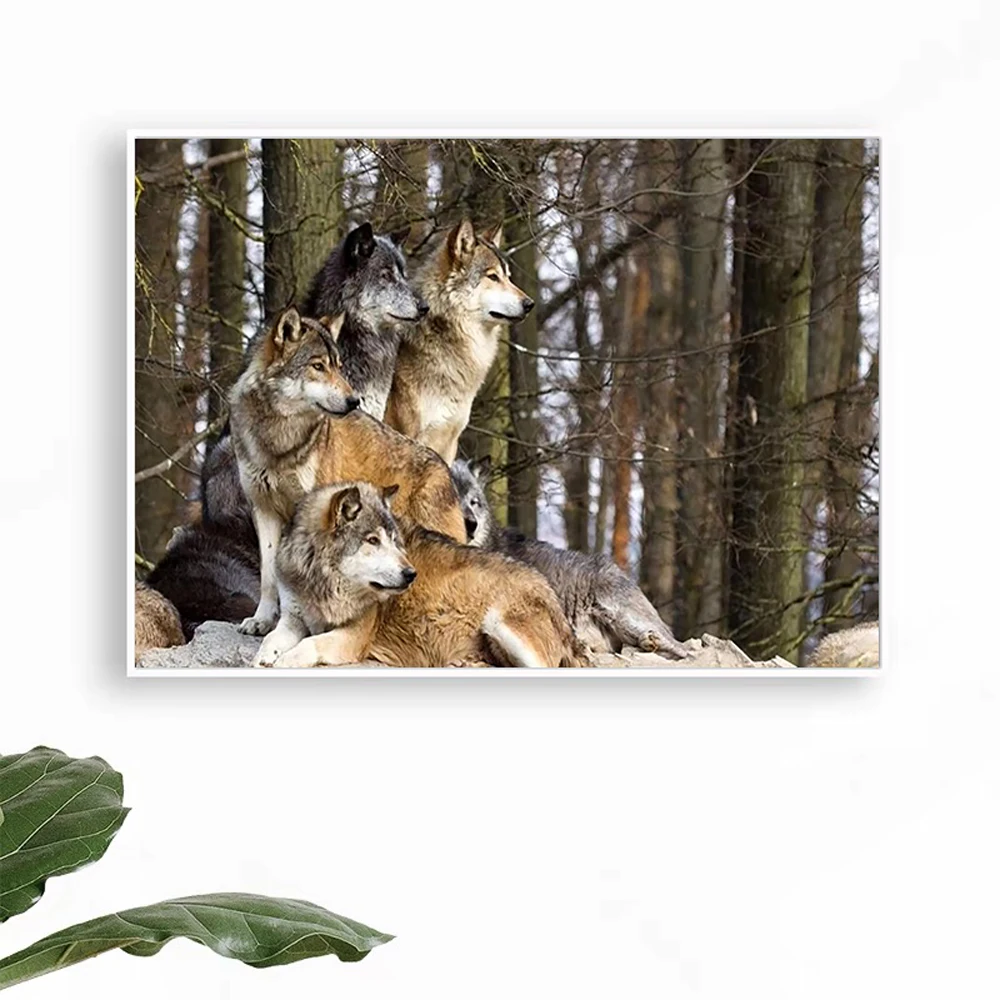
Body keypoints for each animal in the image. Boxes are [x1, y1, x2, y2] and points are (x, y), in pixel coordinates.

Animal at [229, 306, 466, 636]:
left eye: (339, 367)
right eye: (318, 366)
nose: (354, 400)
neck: (279, 440)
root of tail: (445, 468)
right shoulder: (262, 509)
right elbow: (268, 575)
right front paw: (261, 620)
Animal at [253, 482, 590, 669]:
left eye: (395, 540)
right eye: (372, 540)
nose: (410, 573)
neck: (324, 584)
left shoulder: (354, 637)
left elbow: (312, 644)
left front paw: (285, 660)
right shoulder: (293, 619)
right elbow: (271, 637)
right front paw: (264, 656)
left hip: (500, 624)